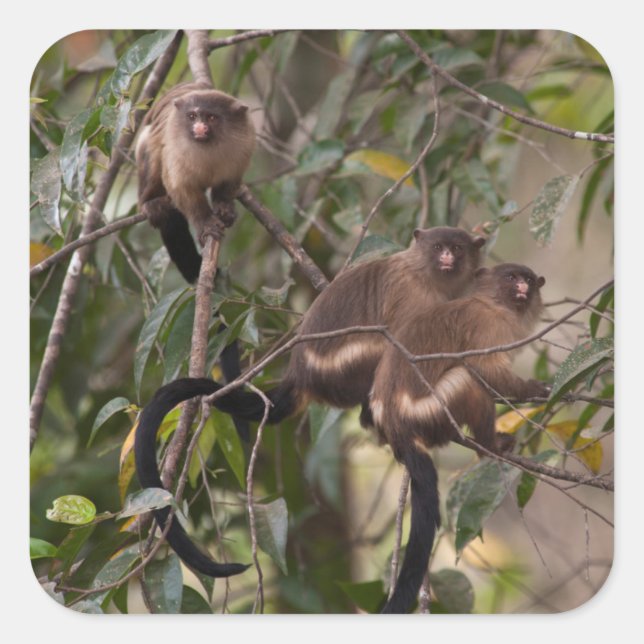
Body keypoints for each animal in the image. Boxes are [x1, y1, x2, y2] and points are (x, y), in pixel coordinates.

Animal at [133, 227, 485, 582]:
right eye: (438, 247)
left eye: (457, 248)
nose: (447, 257)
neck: (428, 277)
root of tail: (302, 375)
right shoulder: (412, 298)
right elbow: (403, 343)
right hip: (349, 366)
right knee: (381, 348)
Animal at [136, 82, 255, 283]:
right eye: (192, 116)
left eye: (211, 117)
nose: (199, 127)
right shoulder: (175, 149)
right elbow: (181, 188)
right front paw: (205, 222)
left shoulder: (244, 145)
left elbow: (230, 180)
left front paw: (224, 207)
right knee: (149, 149)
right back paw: (150, 203)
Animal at [367, 263, 549, 613]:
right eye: (511, 278)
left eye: (529, 280)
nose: (522, 287)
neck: (493, 303)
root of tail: (397, 423)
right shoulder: (488, 326)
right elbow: (485, 369)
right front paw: (533, 389)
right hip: (432, 410)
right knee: (468, 378)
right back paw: (489, 448)